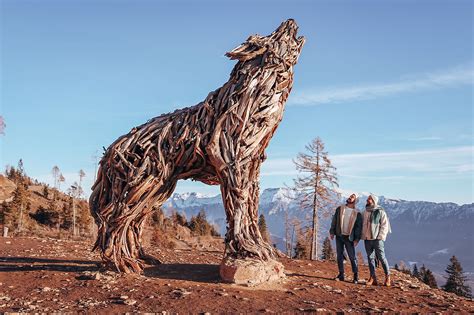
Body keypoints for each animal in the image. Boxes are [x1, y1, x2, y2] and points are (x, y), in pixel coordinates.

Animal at [89, 19, 306, 276]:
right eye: (272, 36)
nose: (290, 20)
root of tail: (110, 151)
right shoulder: (230, 162)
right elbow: (239, 207)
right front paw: (247, 248)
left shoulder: (251, 164)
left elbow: (250, 206)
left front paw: (259, 248)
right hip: (139, 185)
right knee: (114, 221)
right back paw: (121, 263)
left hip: (156, 189)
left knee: (132, 222)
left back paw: (139, 258)